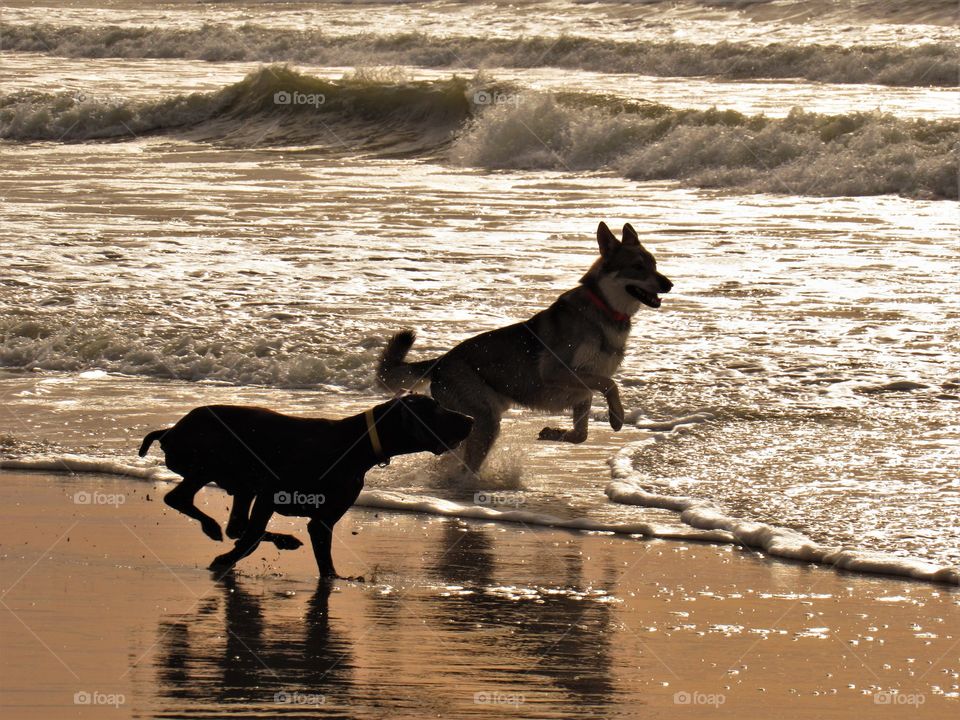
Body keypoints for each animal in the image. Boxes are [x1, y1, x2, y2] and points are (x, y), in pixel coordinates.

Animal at [139, 396, 472, 576]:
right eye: (436, 409)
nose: (470, 419)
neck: (355, 444)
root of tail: (171, 430)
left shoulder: (323, 520)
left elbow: (323, 562)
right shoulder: (271, 494)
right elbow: (252, 537)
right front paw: (225, 560)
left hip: (241, 482)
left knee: (236, 525)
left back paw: (279, 540)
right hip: (209, 462)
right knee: (180, 499)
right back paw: (212, 527)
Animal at [376, 224, 676, 472]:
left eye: (654, 264)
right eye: (637, 267)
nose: (669, 283)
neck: (604, 312)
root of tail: (441, 360)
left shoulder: (583, 391)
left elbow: (581, 435)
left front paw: (554, 433)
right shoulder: (559, 372)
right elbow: (611, 384)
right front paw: (617, 416)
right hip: (486, 419)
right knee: (466, 465)